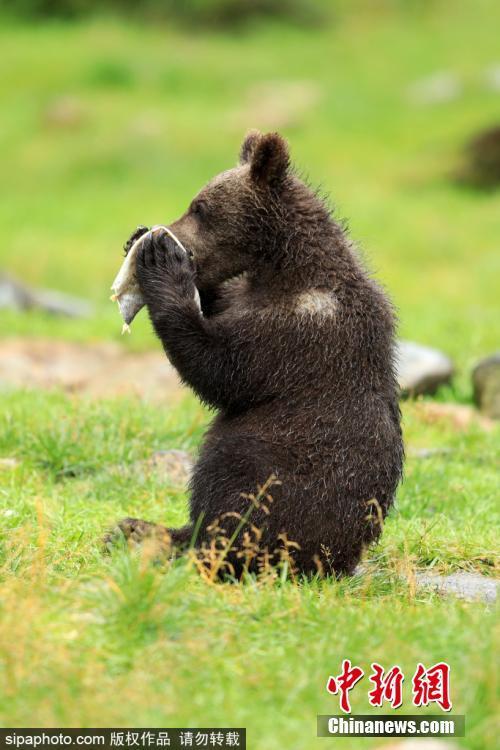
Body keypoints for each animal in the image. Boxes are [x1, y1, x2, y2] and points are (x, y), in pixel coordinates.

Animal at [111, 132, 404, 580]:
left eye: (200, 207)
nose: (166, 233)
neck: (285, 270)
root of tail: (340, 561)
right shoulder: (248, 300)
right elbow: (218, 311)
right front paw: (140, 238)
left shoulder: (298, 333)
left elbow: (221, 368)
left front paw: (161, 261)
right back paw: (136, 529)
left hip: (279, 480)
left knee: (232, 500)